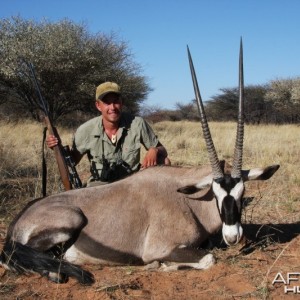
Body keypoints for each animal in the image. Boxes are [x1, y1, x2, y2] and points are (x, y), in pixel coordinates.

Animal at [0, 39, 278, 284]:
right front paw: (159, 266)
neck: (188, 200)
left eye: (242, 193)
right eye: (217, 193)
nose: (232, 236)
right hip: (70, 220)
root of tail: (18, 221)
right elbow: (209, 258)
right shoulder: (161, 246)